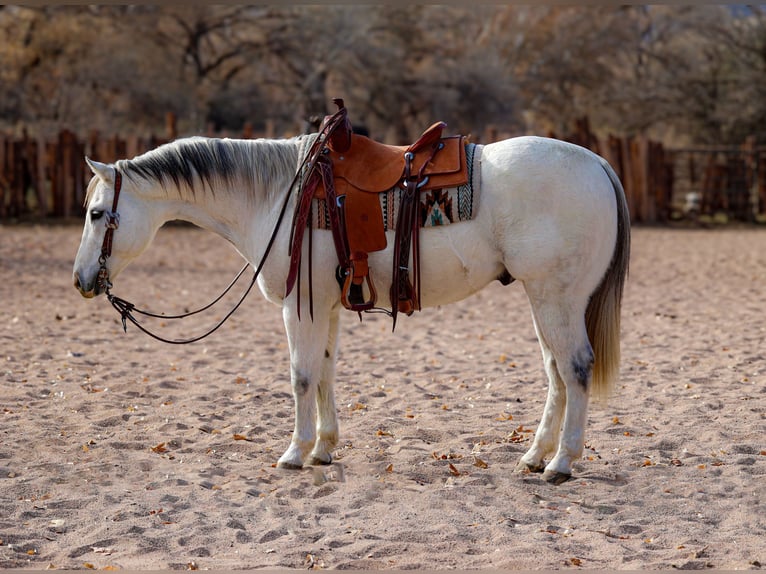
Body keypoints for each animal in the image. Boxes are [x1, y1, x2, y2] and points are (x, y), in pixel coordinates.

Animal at [75, 133, 632, 484]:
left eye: (98, 213)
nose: (82, 281)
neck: (280, 197)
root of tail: (599, 164)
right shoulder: (325, 306)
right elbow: (324, 372)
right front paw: (323, 448)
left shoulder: (300, 308)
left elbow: (300, 376)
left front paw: (294, 453)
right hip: (543, 300)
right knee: (556, 373)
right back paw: (535, 457)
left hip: (557, 297)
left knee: (575, 367)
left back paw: (562, 463)